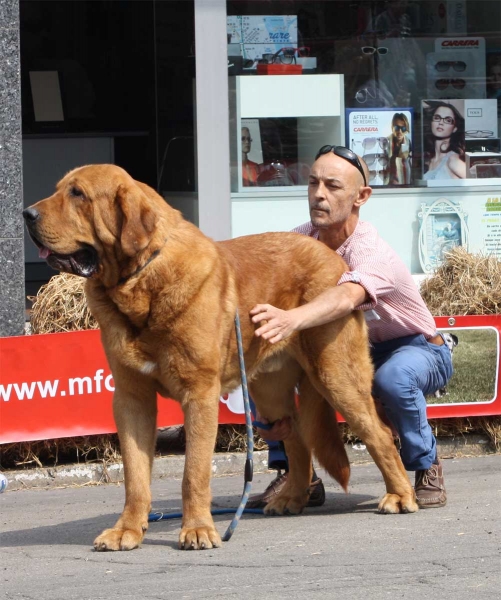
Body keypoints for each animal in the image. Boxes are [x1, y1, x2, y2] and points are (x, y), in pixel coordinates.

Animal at [21, 162, 416, 552]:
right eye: (60, 190)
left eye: (78, 194)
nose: (26, 213)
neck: (140, 281)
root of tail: (334, 257)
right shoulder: (131, 399)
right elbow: (135, 476)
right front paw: (128, 531)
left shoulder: (199, 395)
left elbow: (193, 473)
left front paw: (197, 530)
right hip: (268, 393)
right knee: (297, 439)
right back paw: (291, 498)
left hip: (336, 375)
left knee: (379, 433)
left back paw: (401, 496)